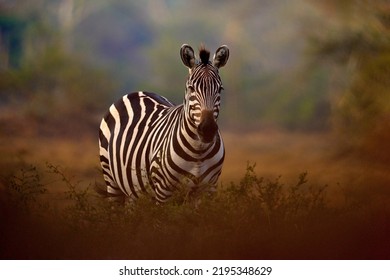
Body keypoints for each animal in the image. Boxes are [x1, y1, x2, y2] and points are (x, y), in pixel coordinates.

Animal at [98, 43, 229, 202]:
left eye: (220, 89)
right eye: (191, 88)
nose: (208, 129)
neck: (198, 151)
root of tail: (136, 92)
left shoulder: (208, 189)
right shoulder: (162, 191)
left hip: (133, 192)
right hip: (111, 179)